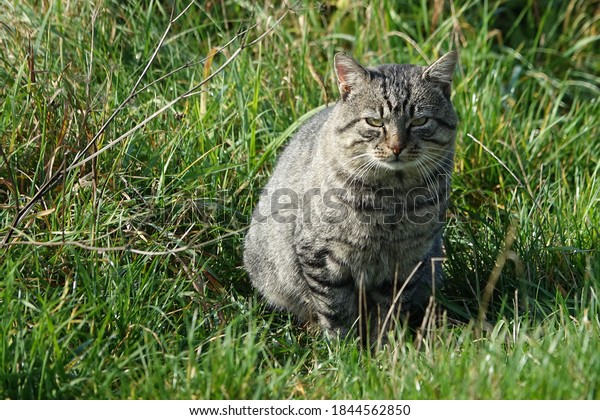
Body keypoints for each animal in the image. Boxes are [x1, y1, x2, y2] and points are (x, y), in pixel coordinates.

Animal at [244, 50, 460, 342]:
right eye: (374, 122)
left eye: (419, 121)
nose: (396, 147)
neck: (392, 198)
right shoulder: (320, 255)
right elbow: (335, 308)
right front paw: (345, 347)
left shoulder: (407, 261)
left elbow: (390, 310)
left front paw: (384, 345)